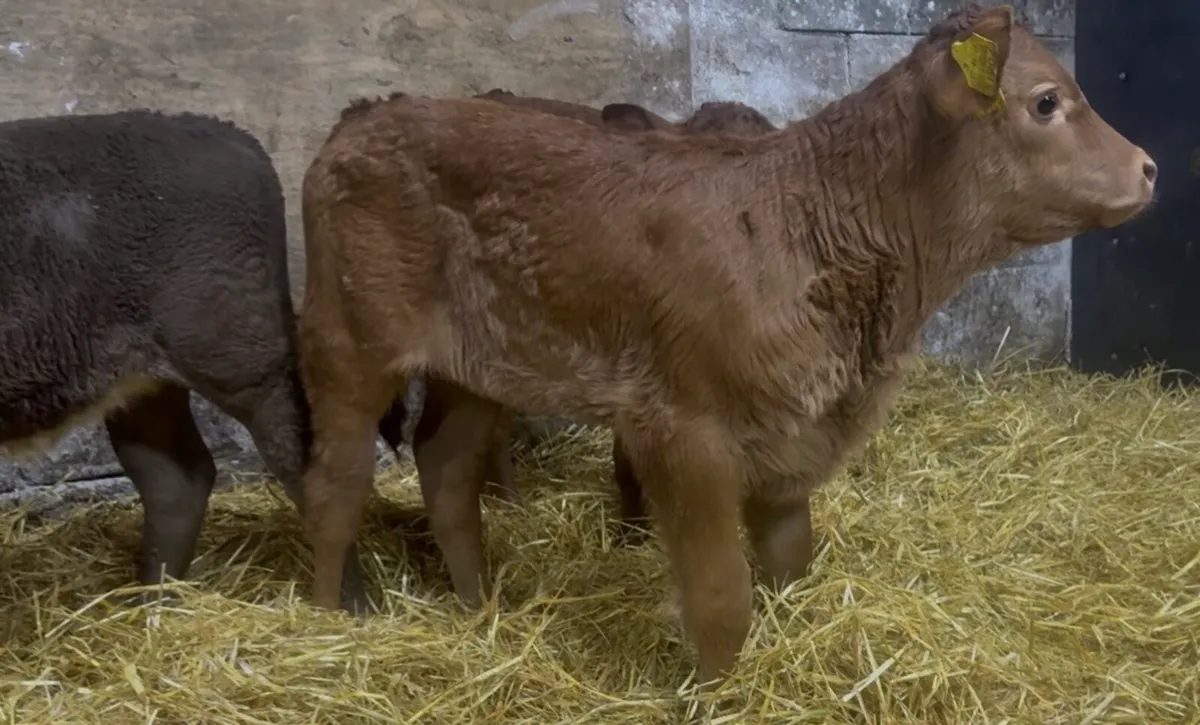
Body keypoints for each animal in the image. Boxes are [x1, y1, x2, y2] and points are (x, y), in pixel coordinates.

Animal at [0, 109, 391, 614]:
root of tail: (228, 133)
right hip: (146, 382)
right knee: (175, 480)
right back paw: (153, 604)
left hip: (246, 360)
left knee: (307, 464)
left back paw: (347, 607)